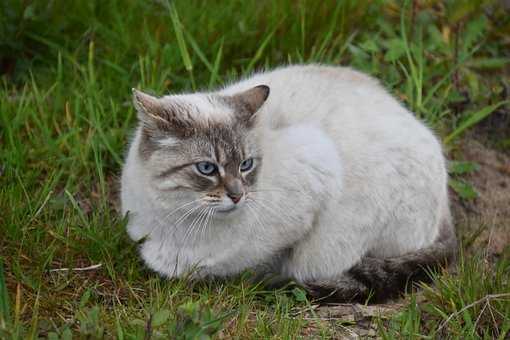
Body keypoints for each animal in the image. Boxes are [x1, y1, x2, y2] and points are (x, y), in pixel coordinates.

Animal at [121, 65, 456, 302]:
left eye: (246, 165)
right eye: (207, 168)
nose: (238, 196)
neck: (180, 223)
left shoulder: (317, 169)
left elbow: (273, 259)